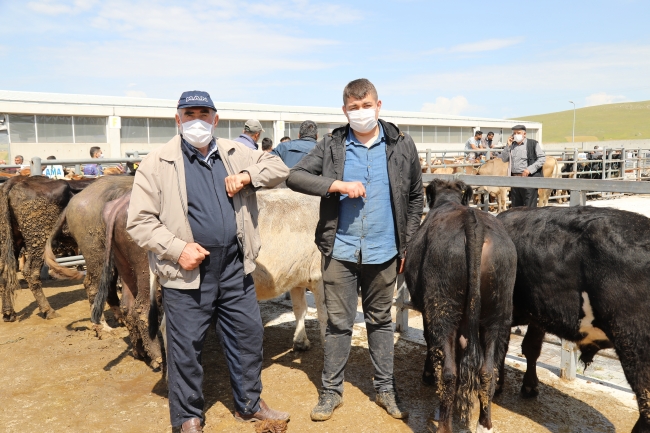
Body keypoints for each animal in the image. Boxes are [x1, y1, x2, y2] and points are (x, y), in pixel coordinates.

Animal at [402, 179, 512, 432]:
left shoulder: (427, 312)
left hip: (442, 307)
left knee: (448, 372)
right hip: (498, 313)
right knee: (488, 371)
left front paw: (427, 374)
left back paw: (444, 425)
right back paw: (485, 423)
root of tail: (472, 221)